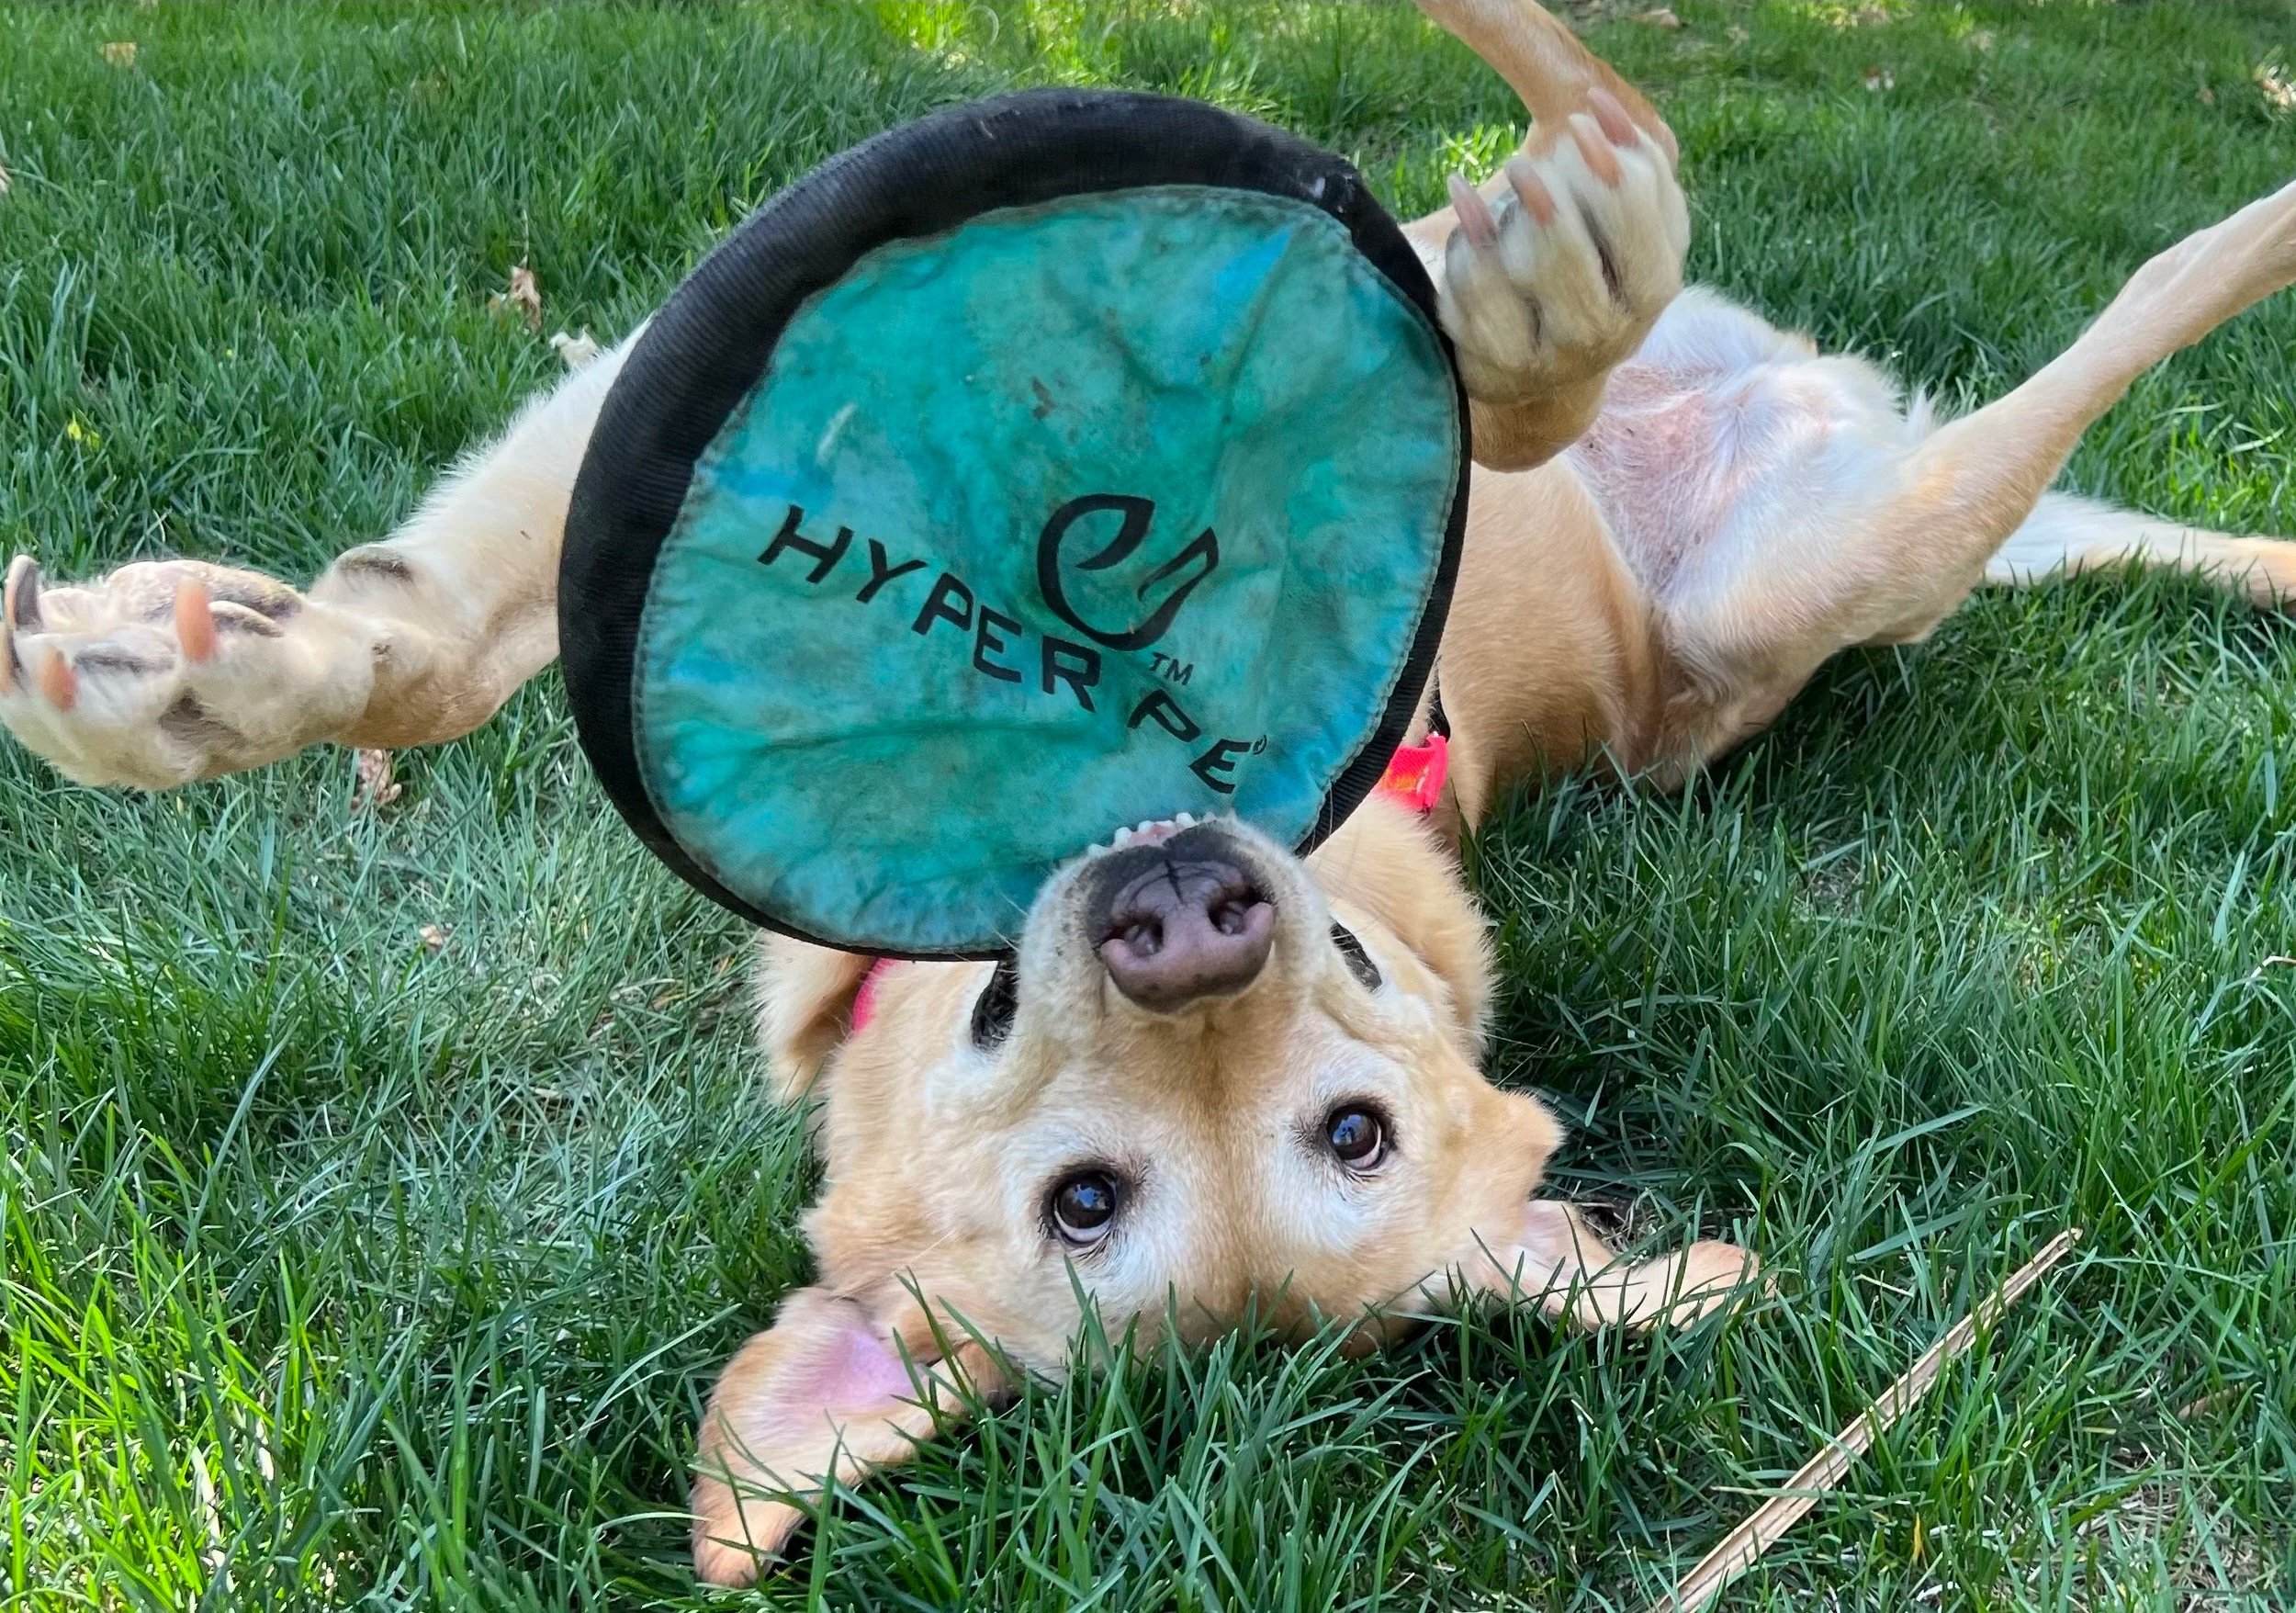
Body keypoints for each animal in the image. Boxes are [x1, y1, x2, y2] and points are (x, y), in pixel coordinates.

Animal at [3, 0, 2293, 1587]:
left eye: (1344, 1134)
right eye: (1084, 1202)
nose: (1187, 915)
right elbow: (444, 633)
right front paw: (198, 682)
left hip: (1851, 554)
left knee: (2058, 282)